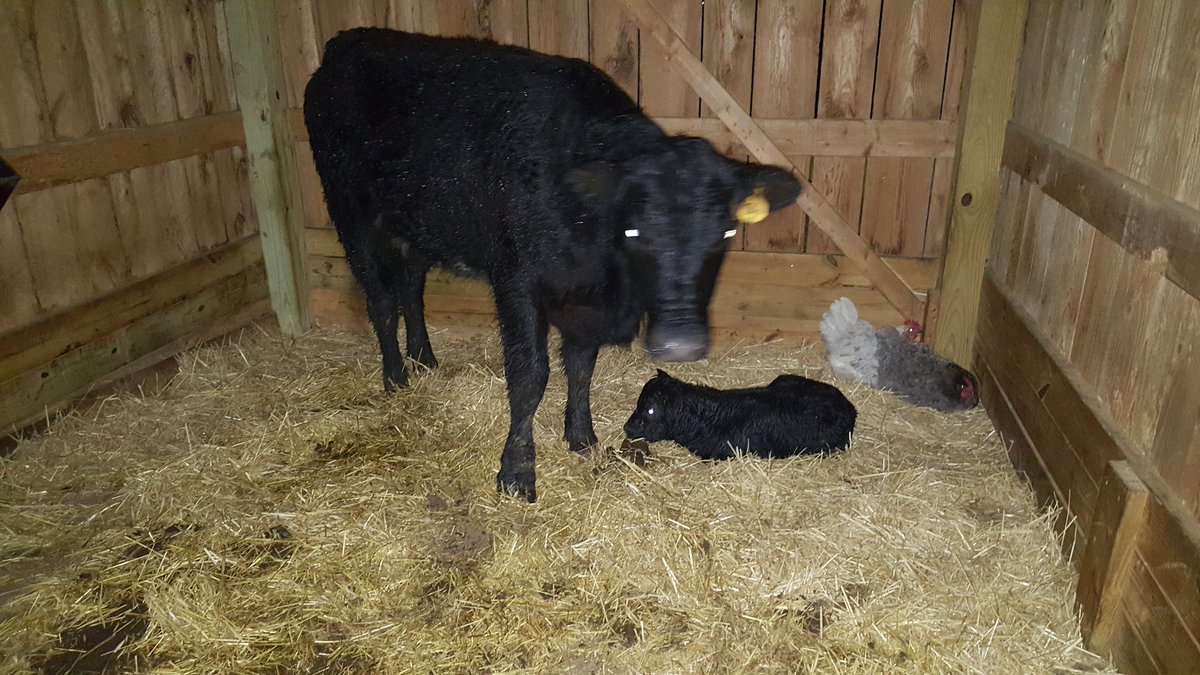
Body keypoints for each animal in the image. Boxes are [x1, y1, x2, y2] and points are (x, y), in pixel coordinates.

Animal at [303, 28, 801, 501]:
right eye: (634, 230)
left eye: (726, 233)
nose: (681, 344)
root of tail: (347, 42)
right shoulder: (516, 284)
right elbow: (530, 377)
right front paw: (516, 472)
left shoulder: (585, 305)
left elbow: (581, 367)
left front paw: (581, 437)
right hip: (353, 215)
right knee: (382, 300)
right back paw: (395, 377)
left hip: (416, 224)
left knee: (411, 286)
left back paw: (424, 358)